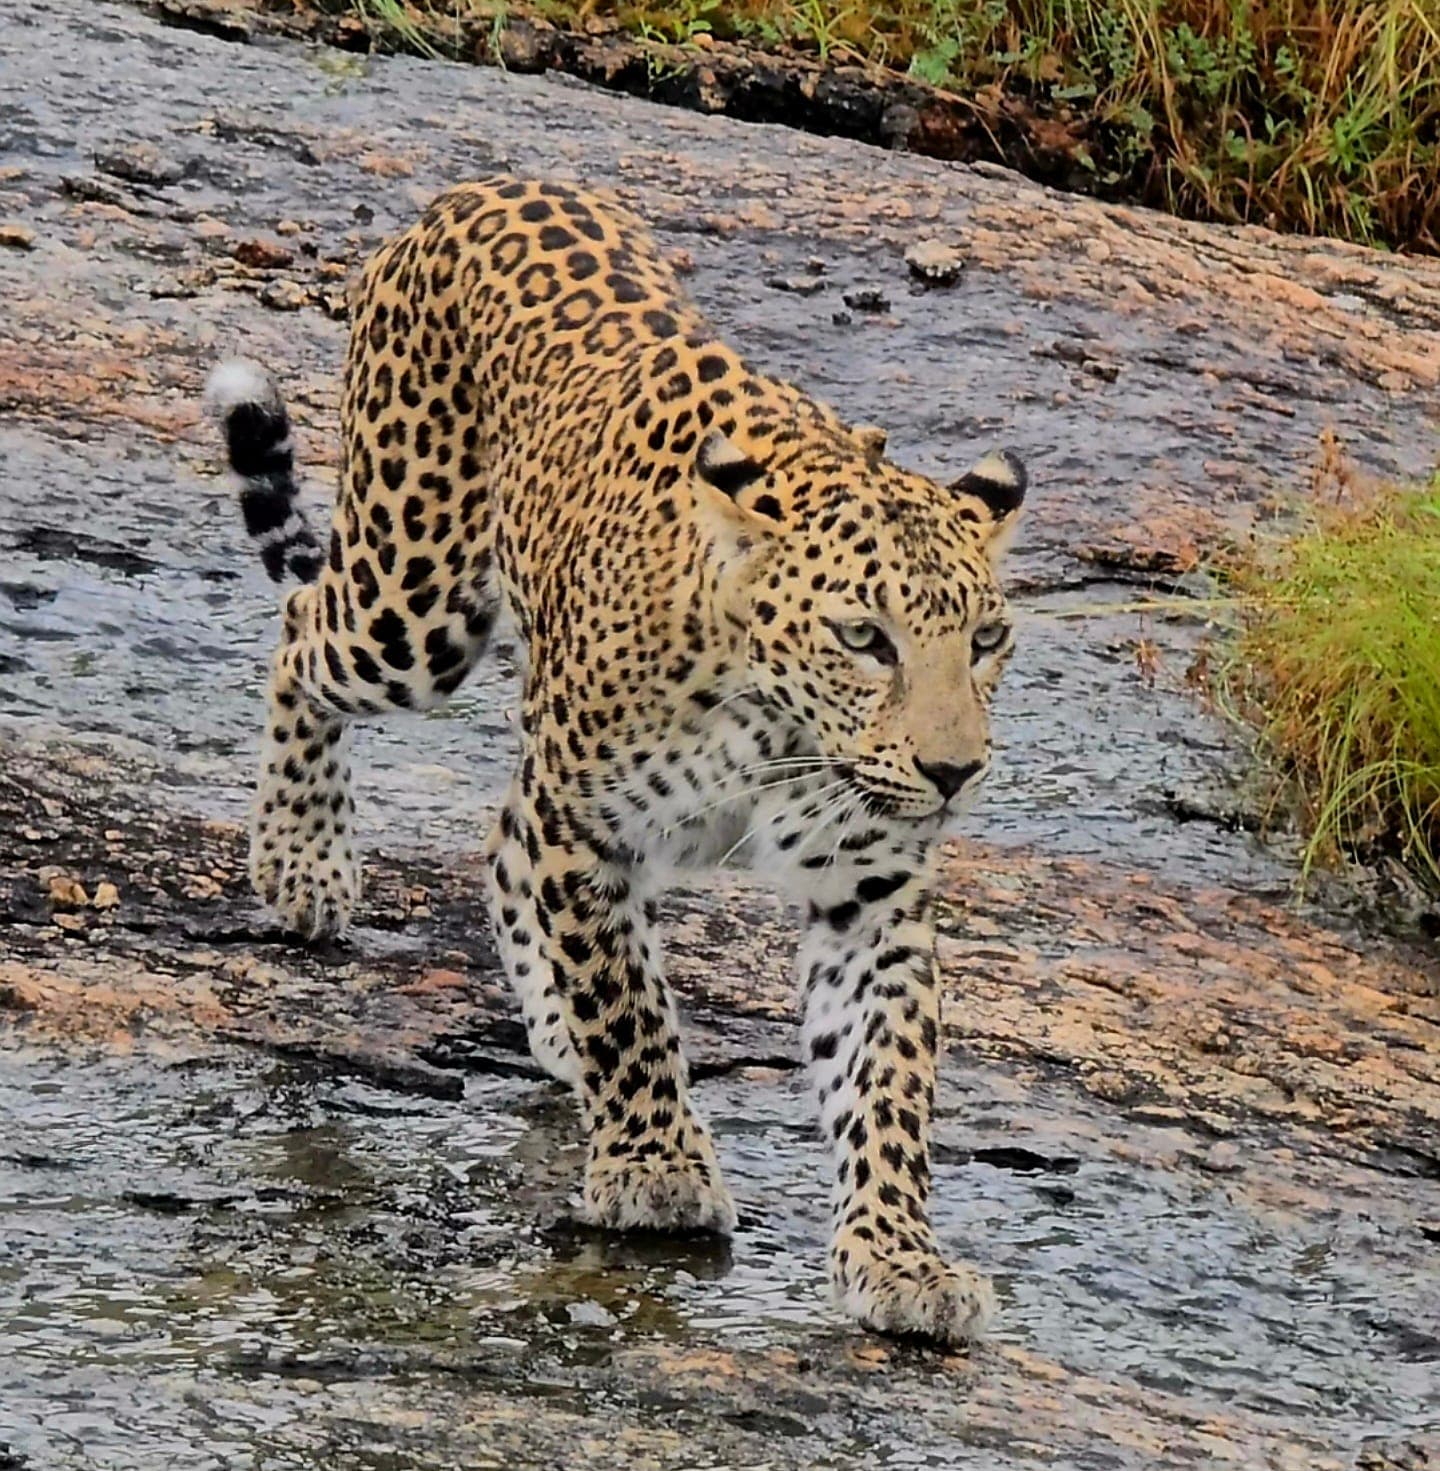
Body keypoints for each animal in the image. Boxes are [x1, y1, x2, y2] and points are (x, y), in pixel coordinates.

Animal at [205, 174, 1027, 1346]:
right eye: (866, 638)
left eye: (987, 639)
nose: (956, 772)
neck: (780, 733)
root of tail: (479, 186)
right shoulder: (585, 826)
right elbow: (624, 1001)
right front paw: (657, 1169)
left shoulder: (870, 892)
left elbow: (887, 1079)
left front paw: (899, 1256)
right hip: (411, 606)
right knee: (302, 632)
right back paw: (302, 860)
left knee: (500, 834)